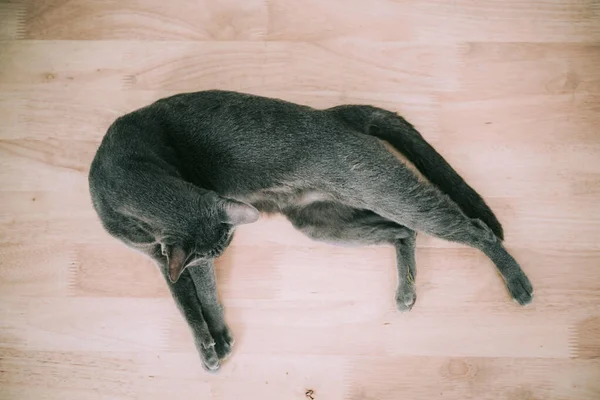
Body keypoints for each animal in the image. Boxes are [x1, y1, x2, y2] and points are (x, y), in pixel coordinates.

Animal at [86, 89, 532, 370]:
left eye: (226, 247)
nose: (228, 245)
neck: (127, 173)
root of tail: (333, 113)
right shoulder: (161, 259)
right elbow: (185, 305)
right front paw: (208, 344)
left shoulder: (186, 259)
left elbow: (204, 296)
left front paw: (217, 342)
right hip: (321, 222)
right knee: (404, 232)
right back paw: (406, 291)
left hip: (383, 192)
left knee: (474, 228)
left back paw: (517, 283)